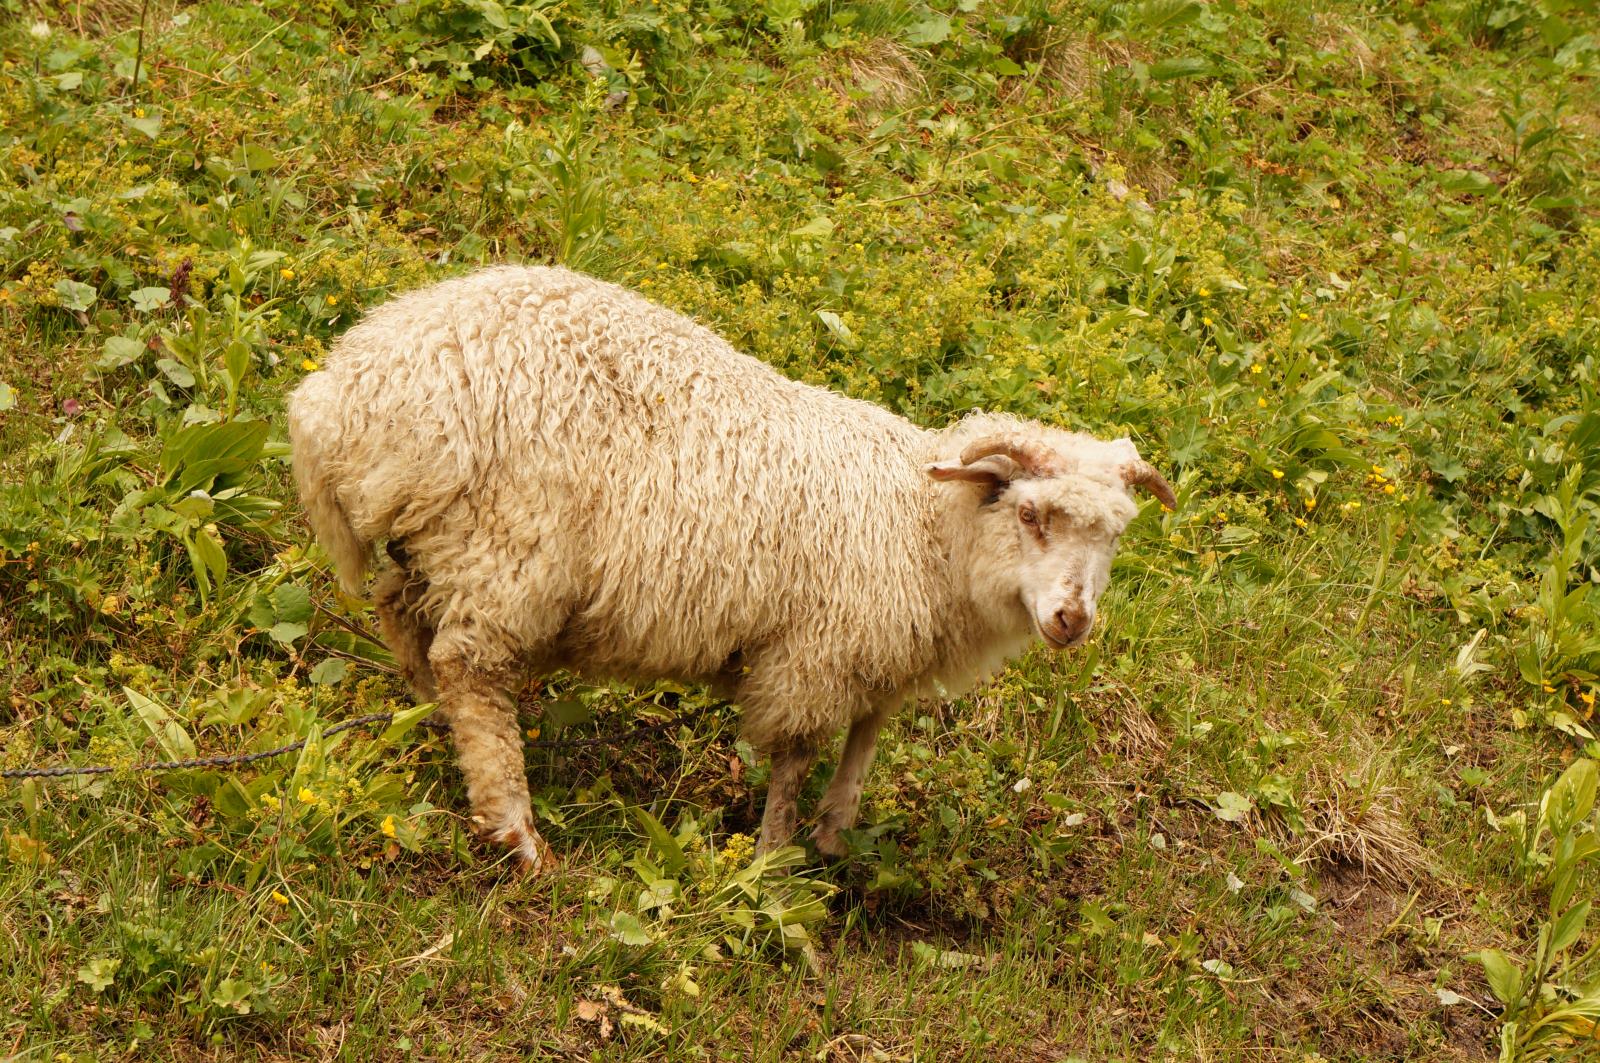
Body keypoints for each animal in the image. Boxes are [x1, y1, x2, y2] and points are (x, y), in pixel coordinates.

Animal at [284, 260, 1177, 870]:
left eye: (1115, 536)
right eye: (1030, 514)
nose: (1072, 619)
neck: (918, 525)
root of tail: (345, 390)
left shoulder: (874, 651)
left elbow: (867, 735)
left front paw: (834, 827)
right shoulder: (816, 652)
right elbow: (796, 756)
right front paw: (774, 858)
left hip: (437, 541)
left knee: (407, 624)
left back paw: (436, 726)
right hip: (510, 549)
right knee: (468, 664)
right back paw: (516, 827)